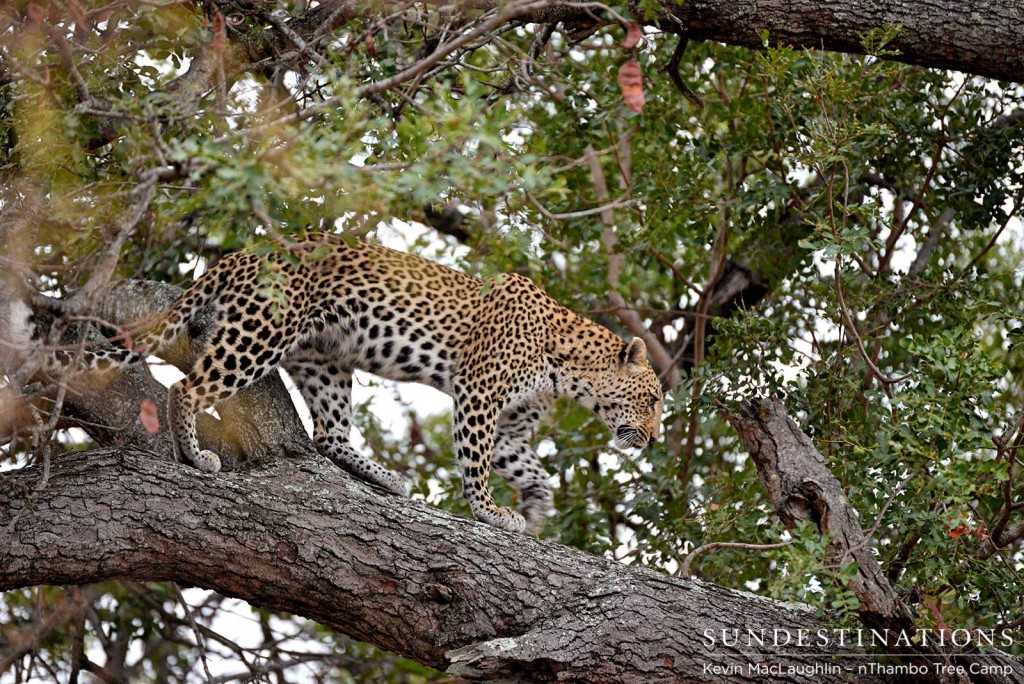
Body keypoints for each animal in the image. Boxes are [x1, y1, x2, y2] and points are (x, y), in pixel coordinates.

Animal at [14, 233, 663, 532]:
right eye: (655, 398)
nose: (655, 437)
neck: (568, 369)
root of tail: (244, 252)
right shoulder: (478, 396)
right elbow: (476, 464)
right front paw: (489, 512)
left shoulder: (511, 428)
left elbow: (532, 469)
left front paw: (535, 510)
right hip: (259, 336)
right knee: (188, 388)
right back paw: (196, 456)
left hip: (323, 361)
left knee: (329, 434)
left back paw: (387, 479)